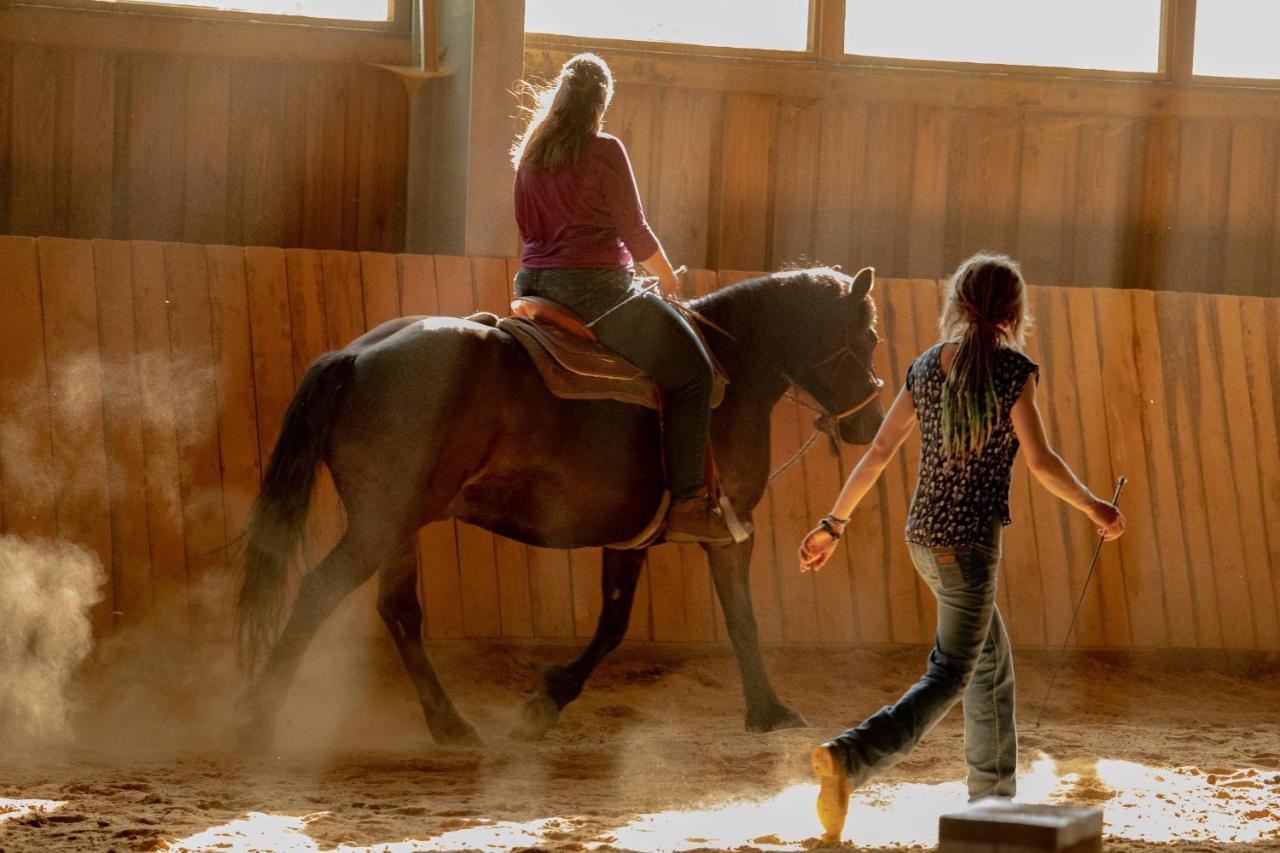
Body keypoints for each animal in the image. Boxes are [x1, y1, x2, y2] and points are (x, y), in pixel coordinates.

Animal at [235, 263, 885, 742]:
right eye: (871, 337)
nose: (872, 423)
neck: (732, 372)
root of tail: (356, 355)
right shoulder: (729, 530)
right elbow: (739, 616)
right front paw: (769, 711)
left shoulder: (632, 537)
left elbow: (615, 623)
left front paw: (547, 701)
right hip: (380, 524)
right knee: (318, 592)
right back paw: (258, 718)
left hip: (397, 525)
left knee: (399, 612)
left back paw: (450, 725)